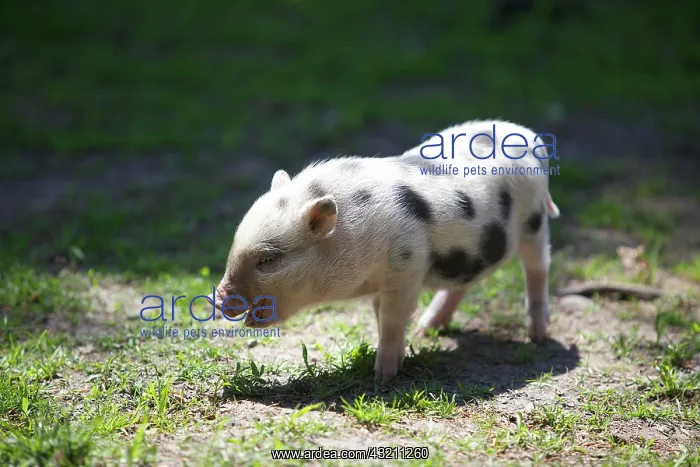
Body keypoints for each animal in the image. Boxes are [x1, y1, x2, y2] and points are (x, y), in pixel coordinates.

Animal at [212, 119, 560, 384]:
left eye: (268, 259)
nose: (218, 296)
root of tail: (529, 137)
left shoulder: (406, 270)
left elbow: (392, 320)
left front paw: (383, 377)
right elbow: (381, 317)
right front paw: (401, 355)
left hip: (534, 222)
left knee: (538, 267)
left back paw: (538, 336)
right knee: (464, 281)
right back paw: (427, 328)